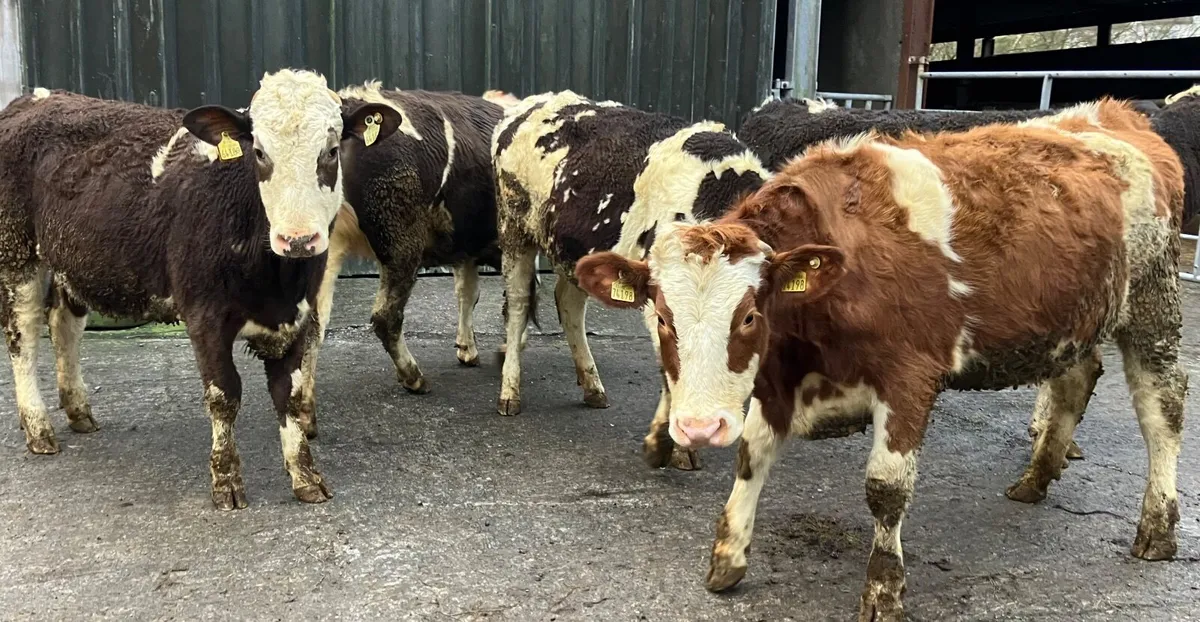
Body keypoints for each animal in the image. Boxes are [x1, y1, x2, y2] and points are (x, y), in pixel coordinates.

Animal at [0, 69, 399, 510]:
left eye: (330, 151)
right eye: (259, 152)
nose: (297, 239)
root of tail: (35, 98)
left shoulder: (298, 312)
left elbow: (290, 394)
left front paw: (306, 476)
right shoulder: (204, 316)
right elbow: (224, 395)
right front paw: (226, 482)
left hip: (74, 259)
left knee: (64, 325)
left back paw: (78, 410)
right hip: (17, 253)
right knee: (22, 337)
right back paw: (38, 429)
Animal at [294, 82, 514, 432]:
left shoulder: (464, 250)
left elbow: (468, 293)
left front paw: (468, 350)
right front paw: (504, 351)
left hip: (324, 248)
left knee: (312, 323)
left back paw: (305, 414)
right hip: (401, 242)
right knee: (386, 316)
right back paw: (414, 378)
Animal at [491, 90, 770, 470]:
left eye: (746, 318)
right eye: (671, 317)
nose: (702, 426)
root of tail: (530, 103)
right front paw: (673, 446)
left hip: (576, 249)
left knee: (569, 303)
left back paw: (592, 386)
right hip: (514, 229)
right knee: (518, 305)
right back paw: (510, 391)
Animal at [575, 98, 1185, 619]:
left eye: (748, 316)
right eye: (662, 317)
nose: (699, 428)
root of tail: (1111, 113)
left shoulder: (909, 377)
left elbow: (886, 488)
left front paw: (884, 588)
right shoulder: (779, 378)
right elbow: (751, 455)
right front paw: (728, 556)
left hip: (1152, 302)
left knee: (1163, 410)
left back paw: (1157, 526)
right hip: (1078, 318)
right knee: (1075, 381)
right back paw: (1036, 478)